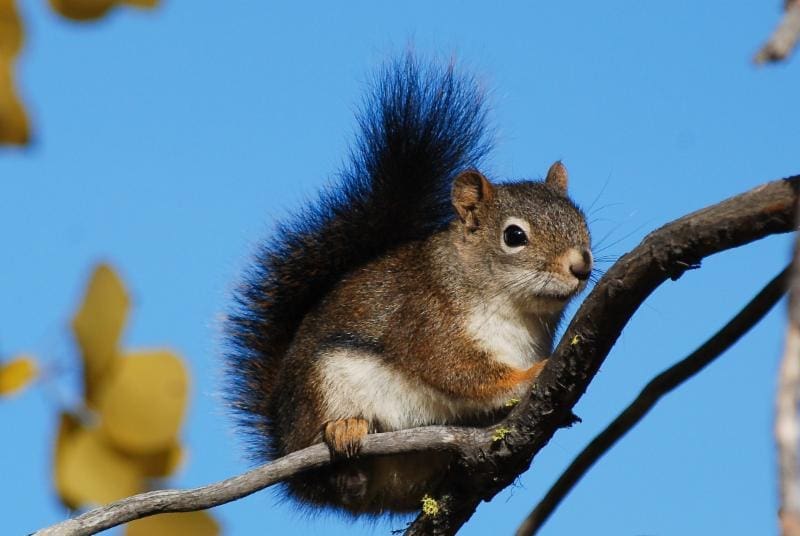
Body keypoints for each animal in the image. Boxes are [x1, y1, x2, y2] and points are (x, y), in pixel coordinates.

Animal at [223, 56, 588, 516]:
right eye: (514, 236)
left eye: (581, 219)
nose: (581, 265)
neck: (514, 309)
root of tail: (280, 438)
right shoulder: (425, 319)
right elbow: (459, 371)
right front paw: (531, 375)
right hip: (322, 388)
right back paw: (345, 434)